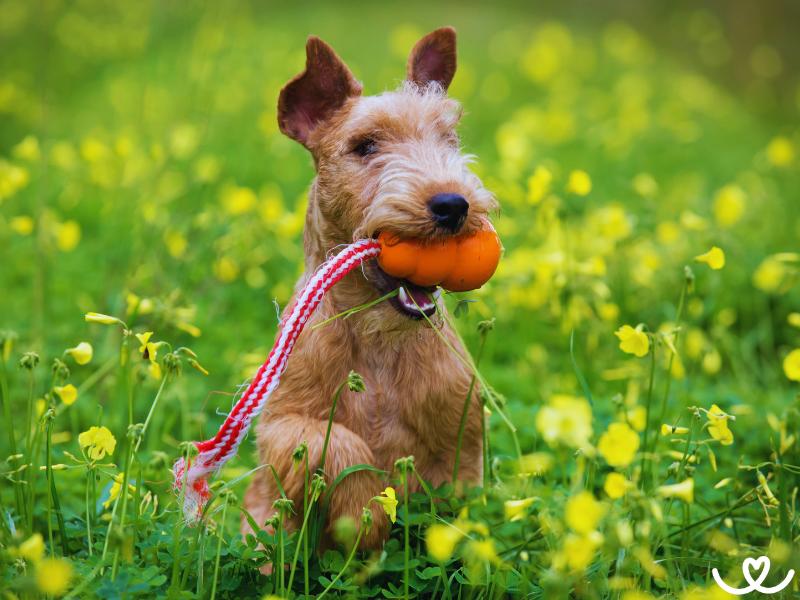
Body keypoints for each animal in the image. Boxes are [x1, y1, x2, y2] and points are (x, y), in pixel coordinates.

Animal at [241, 27, 496, 552]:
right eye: (365, 146)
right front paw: (365, 515)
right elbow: (336, 441)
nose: (453, 204)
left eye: (450, 139)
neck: (380, 338)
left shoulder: (464, 440)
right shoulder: (280, 424)